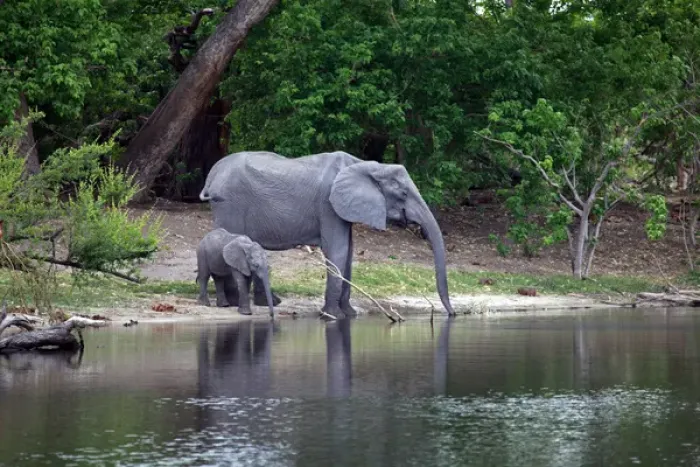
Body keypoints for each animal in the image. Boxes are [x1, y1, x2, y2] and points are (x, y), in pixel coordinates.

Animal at [200, 150, 455, 318]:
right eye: (402, 193)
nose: (451, 314)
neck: (366, 165)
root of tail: (213, 175)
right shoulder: (328, 205)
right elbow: (338, 251)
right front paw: (332, 316)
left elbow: (349, 253)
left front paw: (350, 314)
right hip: (230, 204)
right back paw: (234, 303)